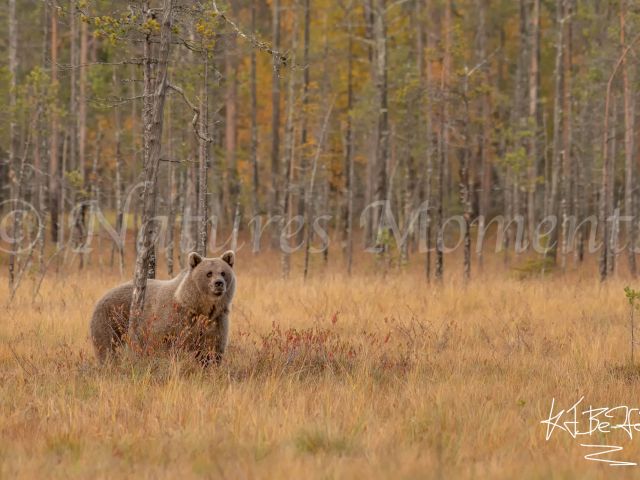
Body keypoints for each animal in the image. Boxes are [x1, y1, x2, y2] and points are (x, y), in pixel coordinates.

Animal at [89, 251, 236, 364]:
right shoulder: (173, 318)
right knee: (106, 346)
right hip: (110, 318)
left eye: (223, 272)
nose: (219, 283)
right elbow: (159, 344)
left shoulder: (216, 322)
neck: (200, 308)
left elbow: (211, 351)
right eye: (209, 273)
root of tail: (103, 295)